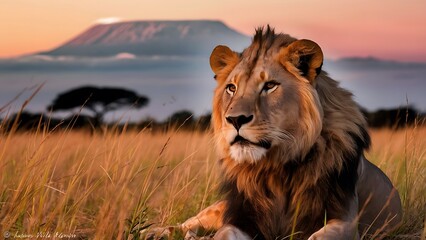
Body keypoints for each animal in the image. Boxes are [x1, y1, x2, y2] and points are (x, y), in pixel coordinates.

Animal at [146, 26, 400, 240]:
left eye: (269, 86)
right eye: (231, 88)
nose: (235, 119)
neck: (276, 168)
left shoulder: (345, 219)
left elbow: (319, 237)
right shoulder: (241, 216)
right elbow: (223, 234)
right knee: (187, 224)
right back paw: (153, 231)